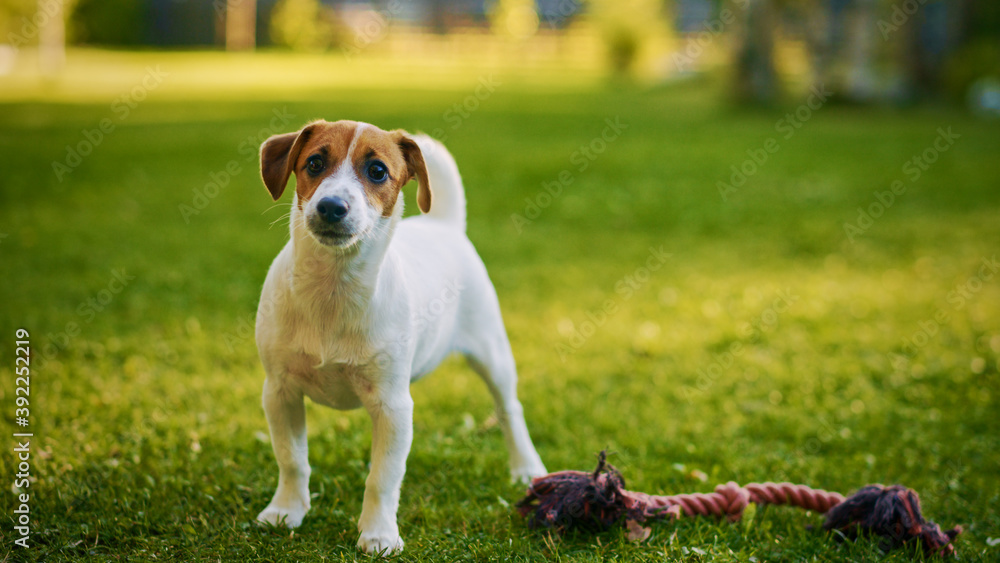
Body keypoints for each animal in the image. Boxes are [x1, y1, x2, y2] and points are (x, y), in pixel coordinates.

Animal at [250, 120, 548, 556]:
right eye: (315, 163)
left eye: (377, 171)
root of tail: (443, 225)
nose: (331, 207)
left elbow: (383, 478)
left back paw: (527, 467)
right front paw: (286, 511)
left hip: (492, 353)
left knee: (510, 409)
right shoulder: (279, 391)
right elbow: (291, 459)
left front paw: (378, 534)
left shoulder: (392, 405)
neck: (332, 292)